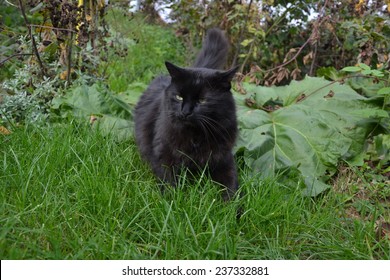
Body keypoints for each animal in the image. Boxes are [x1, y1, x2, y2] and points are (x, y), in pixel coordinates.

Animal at [134, 28, 238, 199]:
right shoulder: (163, 154)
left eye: (202, 100)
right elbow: (169, 182)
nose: (185, 111)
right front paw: (172, 202)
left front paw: (233, 205)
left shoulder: (224, 159)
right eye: (179, 97)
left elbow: (231, 185)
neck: (195, 136)